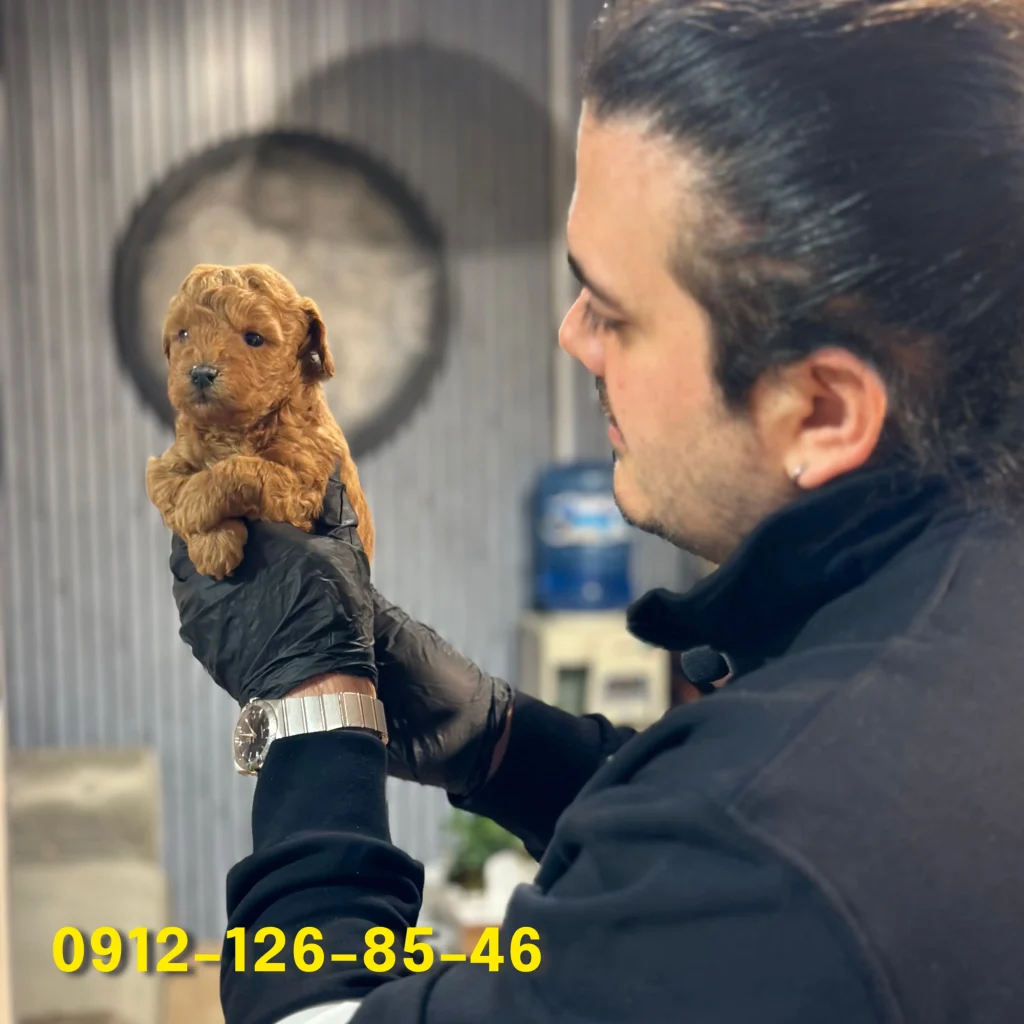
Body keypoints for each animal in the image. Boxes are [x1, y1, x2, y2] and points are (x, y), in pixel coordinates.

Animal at [146, 264, 374, 581]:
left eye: (254, 338)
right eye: (184, 333)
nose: (201, 372)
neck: (233, 429)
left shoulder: (306, 487)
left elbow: (241, 470)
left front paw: (194, 505)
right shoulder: (165, 463)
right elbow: (171, 488)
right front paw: (212, 543)